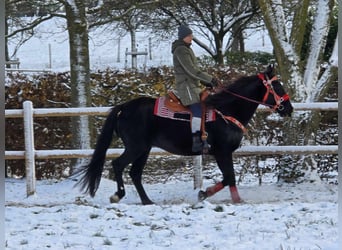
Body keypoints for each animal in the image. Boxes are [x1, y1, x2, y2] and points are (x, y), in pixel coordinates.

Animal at [76, 65, 292, 205]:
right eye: (278, 86)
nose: (289, 108)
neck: (226, 110)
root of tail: (124, 107)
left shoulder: (223, 153)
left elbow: (227, 178)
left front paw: (205, 193)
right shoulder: (222, 152)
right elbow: (230, 177)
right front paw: (234, 199)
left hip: (144, 149)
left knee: (135, 173)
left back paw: (147, 201)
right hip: (136, 147)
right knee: (118, 165)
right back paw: (118, 195)